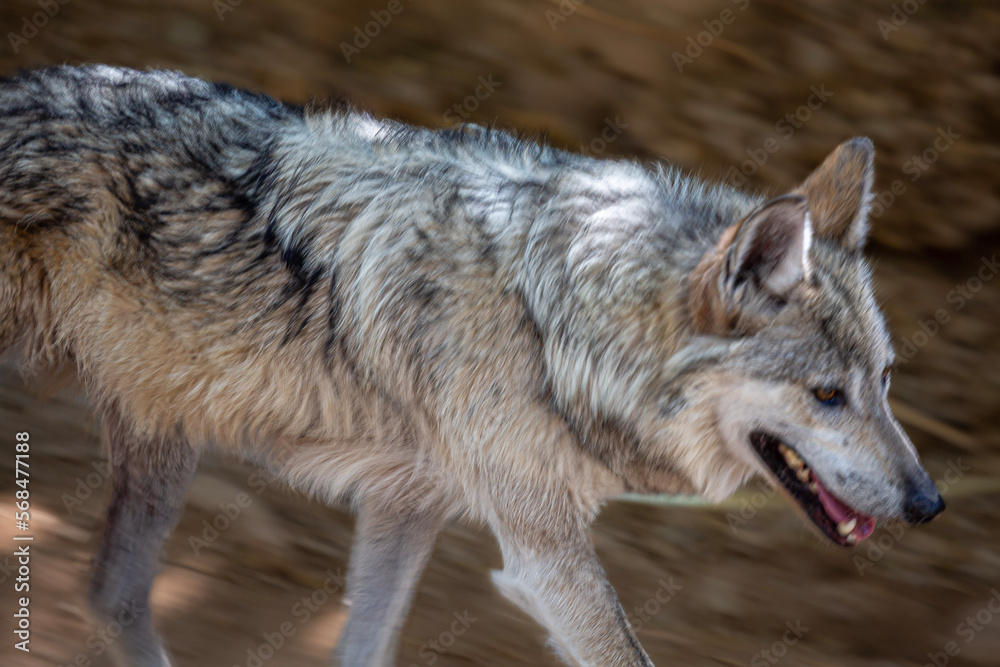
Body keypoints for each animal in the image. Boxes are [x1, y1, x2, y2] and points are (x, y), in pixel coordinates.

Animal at [0, 65, 944, 666]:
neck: (550, 320)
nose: (929, 503)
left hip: (163, 443)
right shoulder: (542, 551)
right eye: (826, 394)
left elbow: (365, 647)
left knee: (111, 592)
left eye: (885, 381)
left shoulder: (407, 505)